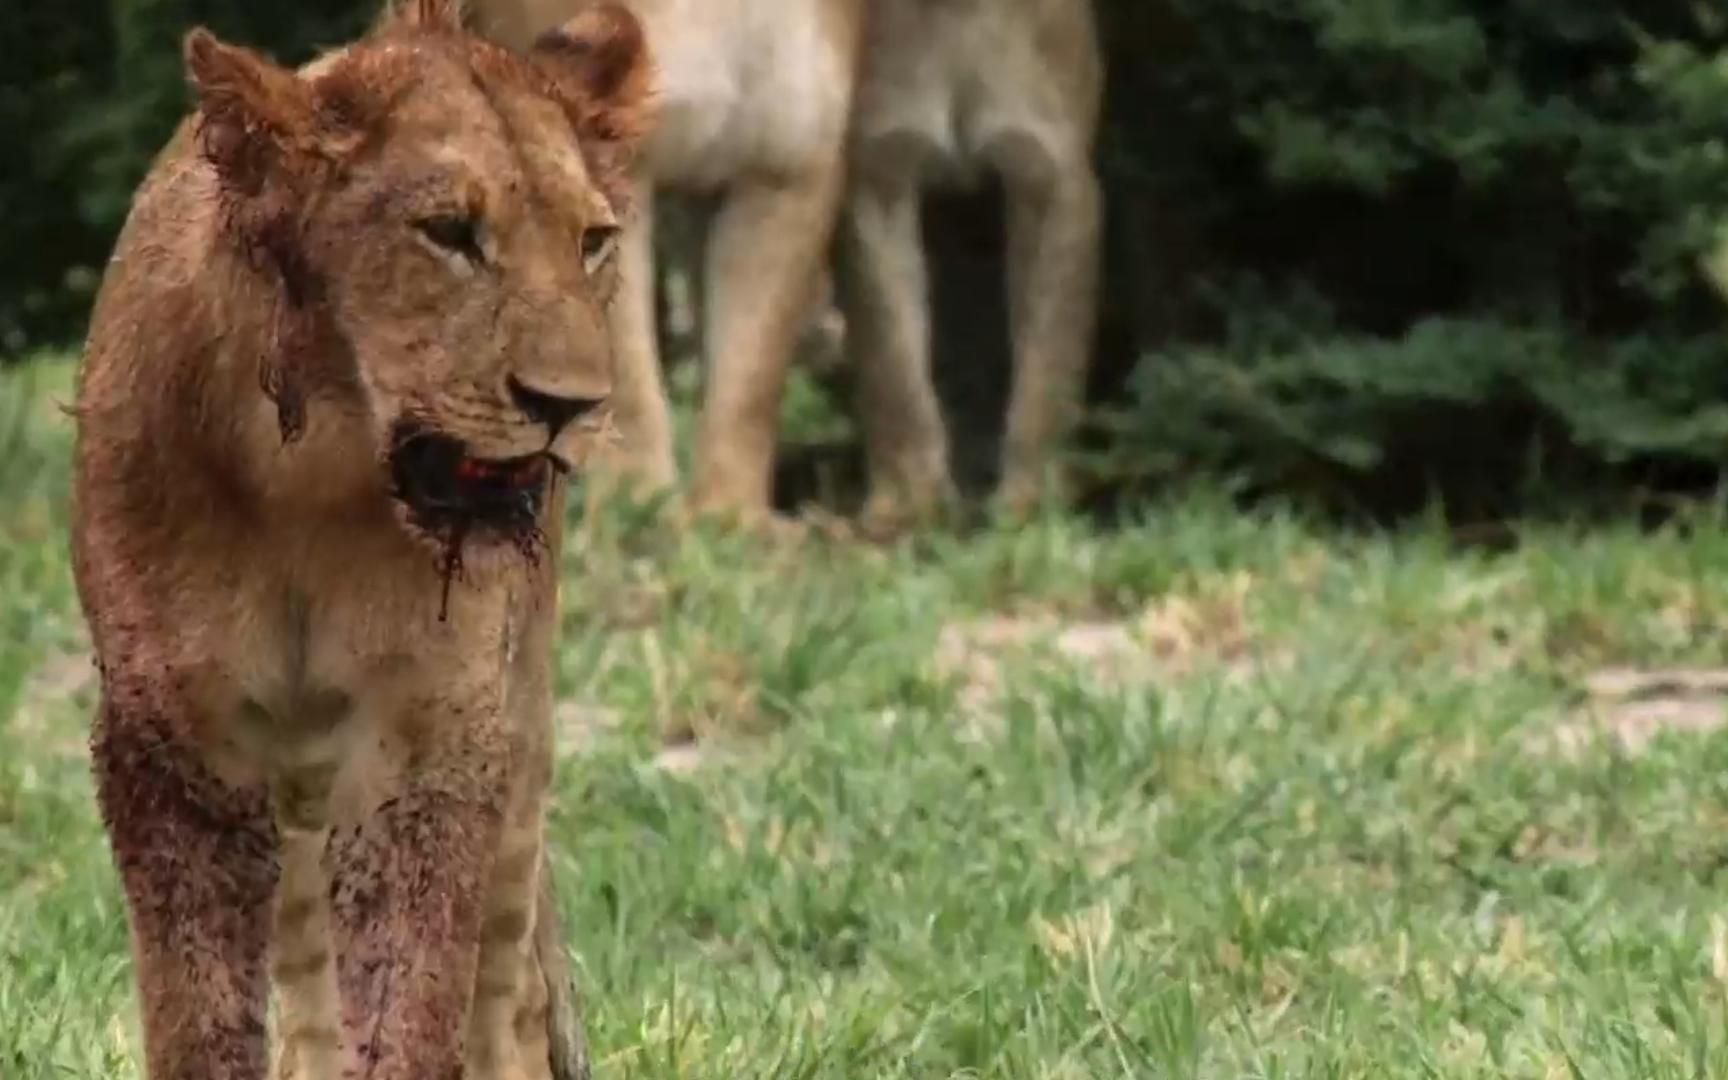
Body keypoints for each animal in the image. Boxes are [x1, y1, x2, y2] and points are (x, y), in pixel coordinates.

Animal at [65, 4, 649, 1071]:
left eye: (592, 242)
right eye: (449, 234)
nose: (573, 406)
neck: (310, 474)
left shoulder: (431, 742)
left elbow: (416, 1001)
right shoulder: (172, 744)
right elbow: (197, 1010)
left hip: (521, 736)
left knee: (506, 980)